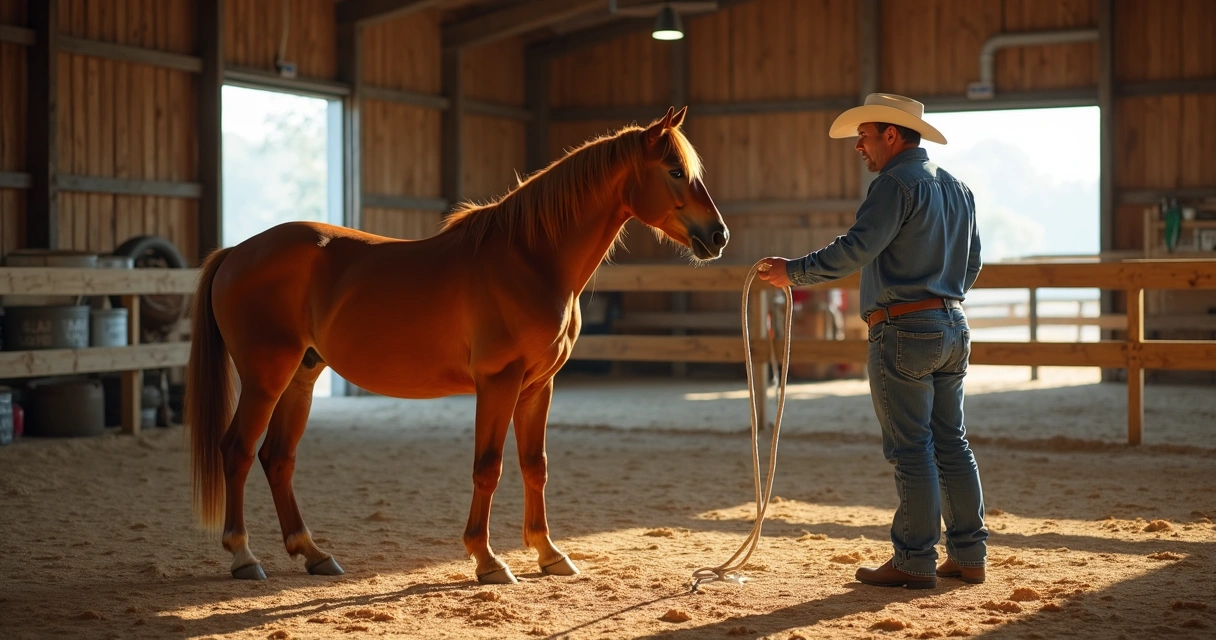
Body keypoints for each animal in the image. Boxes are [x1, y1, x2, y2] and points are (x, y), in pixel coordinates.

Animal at [185, 106, 729, 585]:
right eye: (675, 171)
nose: (718, 236)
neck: (530, 260)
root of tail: (238, 251)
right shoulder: (498, 382)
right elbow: (488, 468)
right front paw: (488, 560)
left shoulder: (539, 386)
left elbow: (535, 466)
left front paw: (549, 553)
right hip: (266, 377)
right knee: (237, 450)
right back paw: (244, 557)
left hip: (301, 375)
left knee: (278, 458)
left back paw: (313, 553)